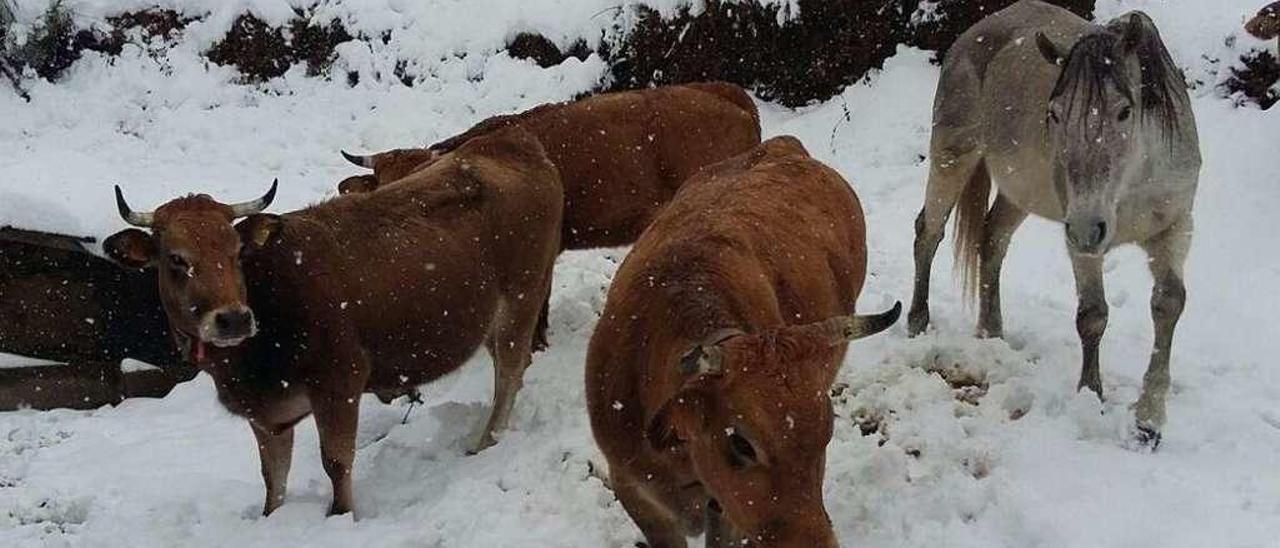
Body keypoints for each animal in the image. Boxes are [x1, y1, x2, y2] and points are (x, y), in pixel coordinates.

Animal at [99, 126, 560, 514]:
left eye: (235, 252)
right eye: (176, 259)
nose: (233, 319)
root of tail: (511, 141)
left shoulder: (339, 382)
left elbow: (336, 462)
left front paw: (340, 514)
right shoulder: (267, 413)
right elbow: (273, 478)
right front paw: (272, 517)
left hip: (523, 297)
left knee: (509, 374)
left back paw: (487, 441)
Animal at [911, 0, 1198, 448]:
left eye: (1124, 111)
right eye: (1055, 113)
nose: (1088, 227)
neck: (1133, 180)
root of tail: (972, 34)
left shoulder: (1174, 229)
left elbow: (1168, 304)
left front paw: (1148, 421)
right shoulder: (1083, 238)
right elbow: (1093, 316)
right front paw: (1090, 396)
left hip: (1019, 193)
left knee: (991, 240)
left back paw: (992, 332)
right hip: (952, 155)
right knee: (929, 232)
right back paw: (917, 322)